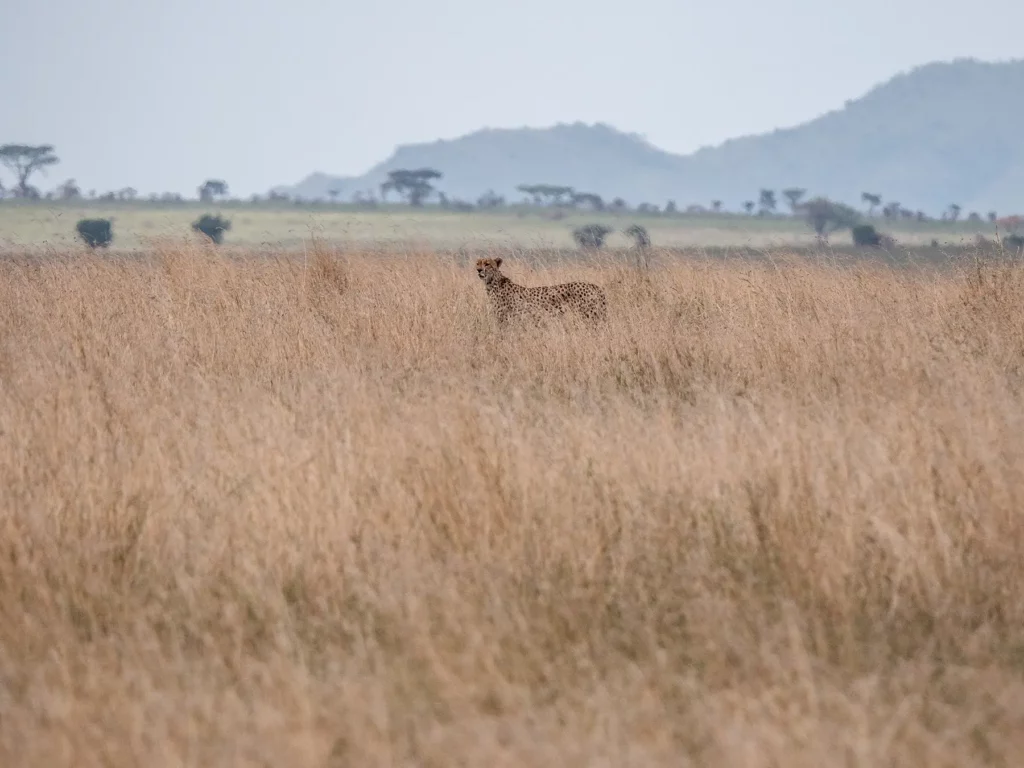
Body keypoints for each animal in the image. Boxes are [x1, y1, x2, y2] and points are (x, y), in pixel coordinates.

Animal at [475, 257, 607, 324]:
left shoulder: (506, 319)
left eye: (487, 264)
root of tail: (594, 285)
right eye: (477, 263)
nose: (478, 270)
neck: (493, 282)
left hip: (590, 317)